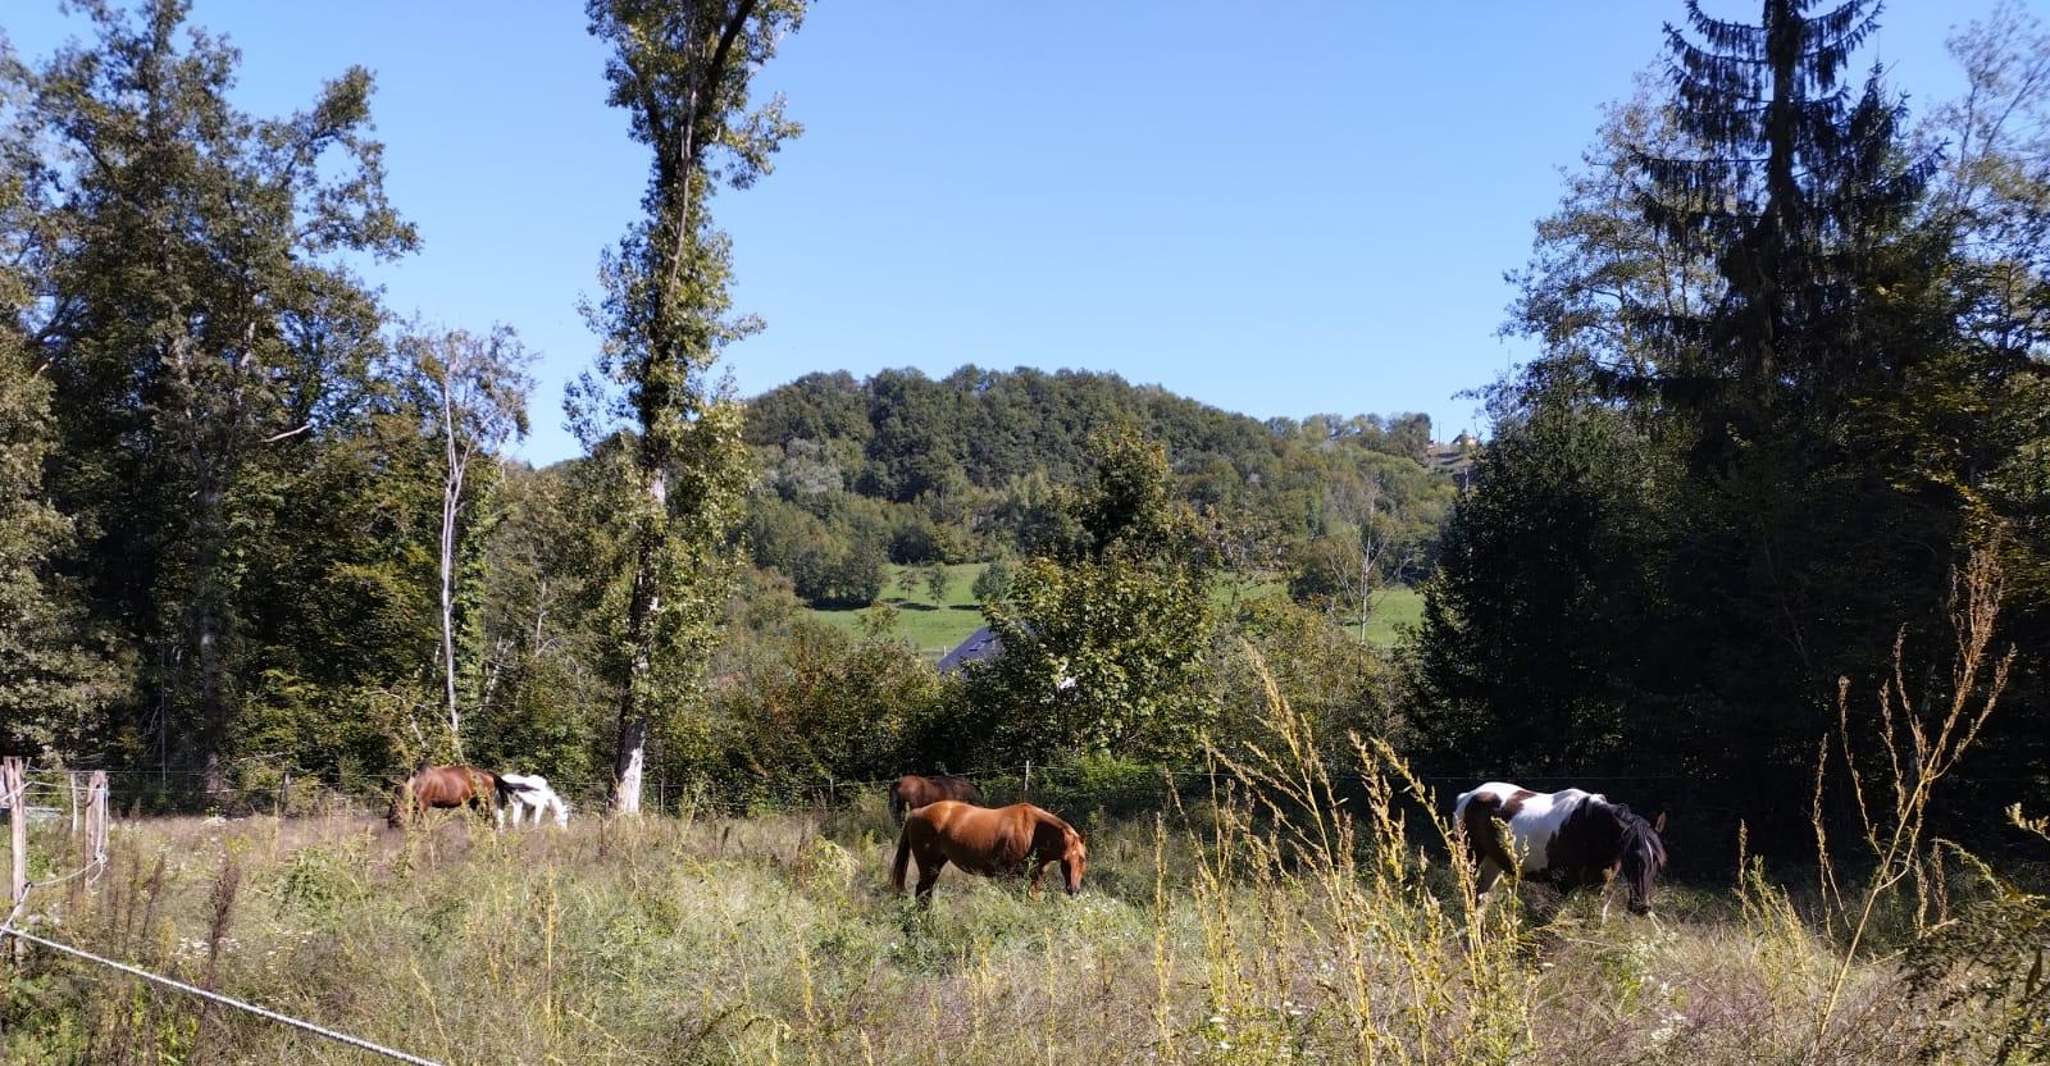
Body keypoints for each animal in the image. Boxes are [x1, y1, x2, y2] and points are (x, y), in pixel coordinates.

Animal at [897, 799, 1090, 906]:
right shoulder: (1010, 877)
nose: (1074, 890)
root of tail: (916, 812)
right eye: (1065, 860)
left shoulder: (1035, 878)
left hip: (935, 866)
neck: (1033, 831)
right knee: (922, 893)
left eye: (1082, 859)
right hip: (928, 866)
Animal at [1451, 783, 1672, 914]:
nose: (1642, 907)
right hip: (1470, 860)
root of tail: (1467, 797)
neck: (1590, 826)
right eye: (1632, 857)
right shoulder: (1565, 886)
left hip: (1493, 864)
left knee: (1480, 902)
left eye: (1658, 862)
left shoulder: (1598, 888)